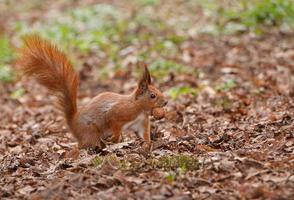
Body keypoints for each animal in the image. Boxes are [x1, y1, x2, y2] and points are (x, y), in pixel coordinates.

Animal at [17, 35, 167, 149]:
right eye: (152, 95)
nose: (165, 102)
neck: (139, 108)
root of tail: (73, 123)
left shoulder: (140, 123)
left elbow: (144, 135)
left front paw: (148, 145)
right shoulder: (119, 113)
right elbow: (115, 125)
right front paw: (116, 139)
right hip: (91, 131)